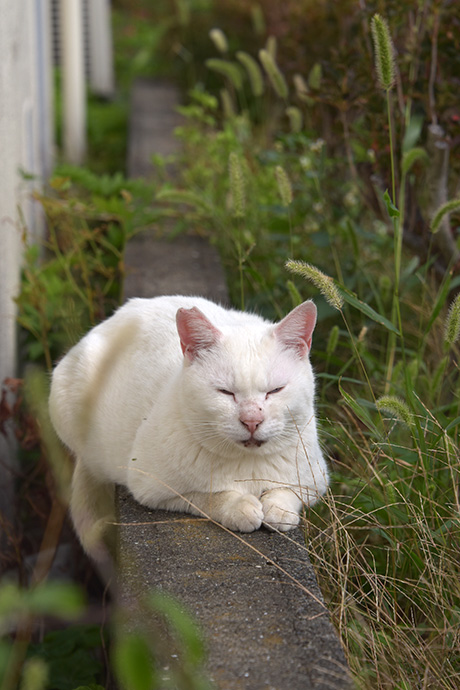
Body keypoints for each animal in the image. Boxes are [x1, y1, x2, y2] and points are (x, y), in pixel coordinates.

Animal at [48, 292, 328, 556]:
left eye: (275, 390)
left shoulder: (317, 481)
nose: (251, 420)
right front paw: (241, 507)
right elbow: (210, 496)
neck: (248, 466)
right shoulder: (154, 489)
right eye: (225, 392)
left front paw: (278, 509)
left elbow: (290, 492)